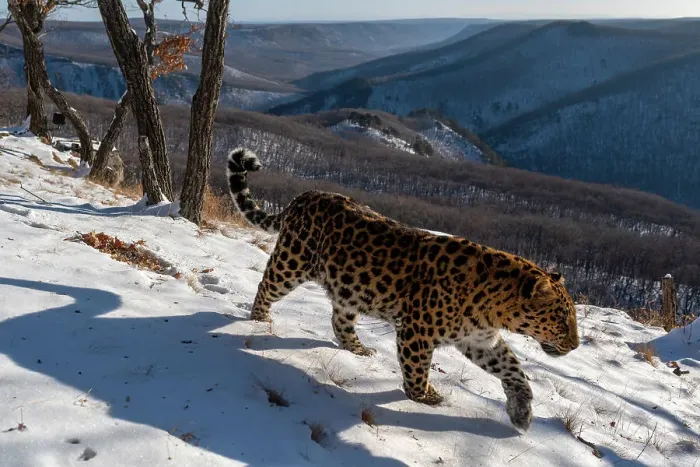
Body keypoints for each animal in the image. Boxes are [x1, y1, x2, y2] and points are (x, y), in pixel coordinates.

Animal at [226, 147, 579, 431]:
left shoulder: (479, 340)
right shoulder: (417, 332)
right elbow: (417, 371)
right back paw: (258, 318)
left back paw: (357, 349)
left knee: (340, 320)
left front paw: (521, 413)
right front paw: (428, 398)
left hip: (347, 288)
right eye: (562, 319)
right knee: (266, 284)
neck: (496, 309)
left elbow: (515, 371)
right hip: (292, 262)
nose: (575, 345)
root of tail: (304, 195)